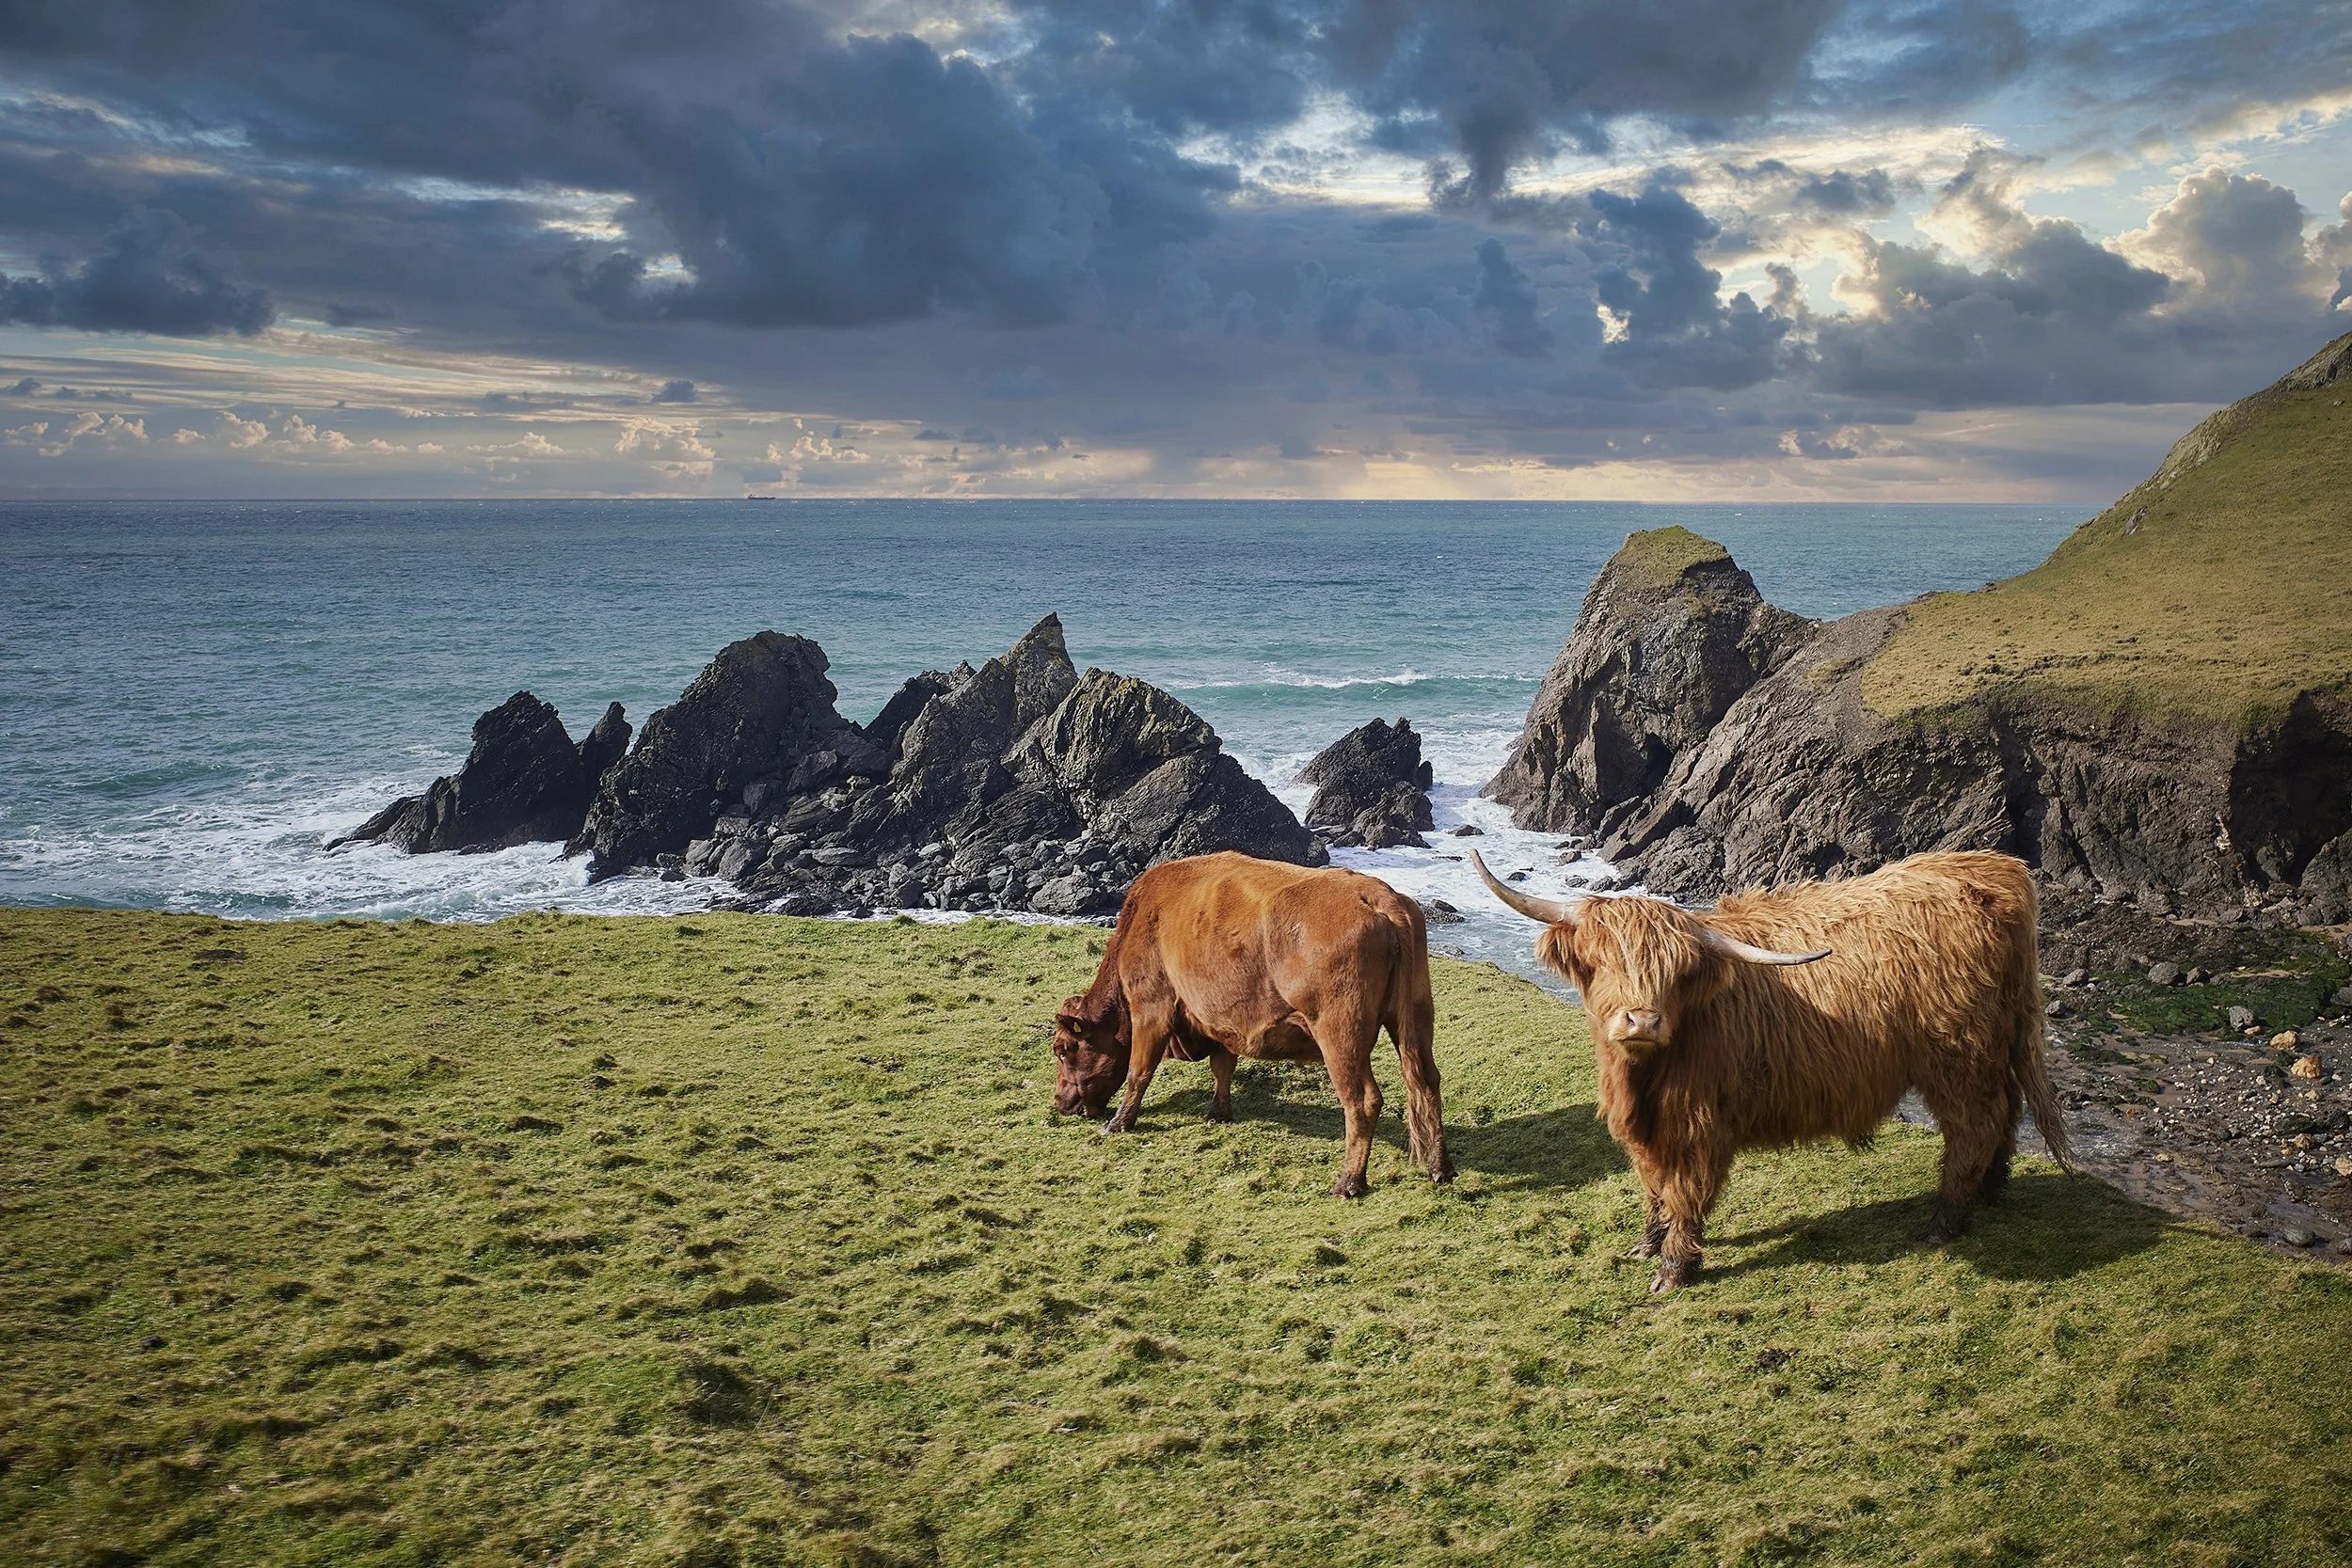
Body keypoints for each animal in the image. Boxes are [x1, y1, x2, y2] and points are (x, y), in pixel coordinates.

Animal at [1051, 851, 1453, 1197]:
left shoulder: (1151, 1007)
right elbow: (1222, 1067)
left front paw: (1119, 1123)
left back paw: (1349, 1181)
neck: (1146, 916)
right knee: (1426, 1081)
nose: (1059, 1101)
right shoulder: (1218, 1021)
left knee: (1362, 1100)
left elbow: (1138, 1071)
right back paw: (1440, 1168)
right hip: (1416, 1019)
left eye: (1063, 1049)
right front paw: (1218, 1113)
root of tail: (1377, 896)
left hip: (1340, 1035)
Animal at [1472, 848, 2069, 1292]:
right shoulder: (1647, 1129)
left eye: (1677, 972)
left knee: (1975, 1124)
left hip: (1958, 1056)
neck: (1641, 1080)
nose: (1642, 1019)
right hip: (1991, 1048)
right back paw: (1991, 1190)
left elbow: (1685, 1190)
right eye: (1602, 962)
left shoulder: (1697, 1125)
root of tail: (1992, 869)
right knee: (2005, 1110)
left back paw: (1944, 1222)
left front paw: (1674, 1268)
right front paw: (1647, 1242)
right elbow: (1653, 1184)